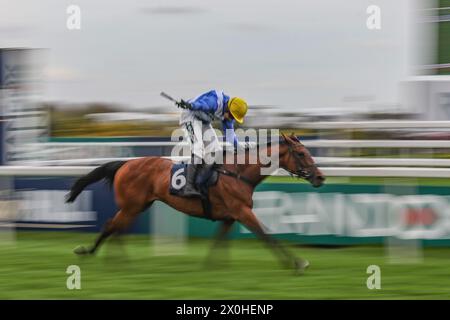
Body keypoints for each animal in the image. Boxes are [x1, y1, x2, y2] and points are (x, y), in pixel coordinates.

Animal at [67, 132, 324, 272]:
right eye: (301, 153)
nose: (320, 177)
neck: (238, 173)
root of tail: (124, 163)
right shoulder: (242, 212)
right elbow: (268, 236)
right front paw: (297, 263)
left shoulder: (230, 217)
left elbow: (217, 241)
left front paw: (210, 266)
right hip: (132, 206)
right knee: (112, 226)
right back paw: (95, 254)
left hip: (137, 206)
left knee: (116, 228)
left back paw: (115, 259)